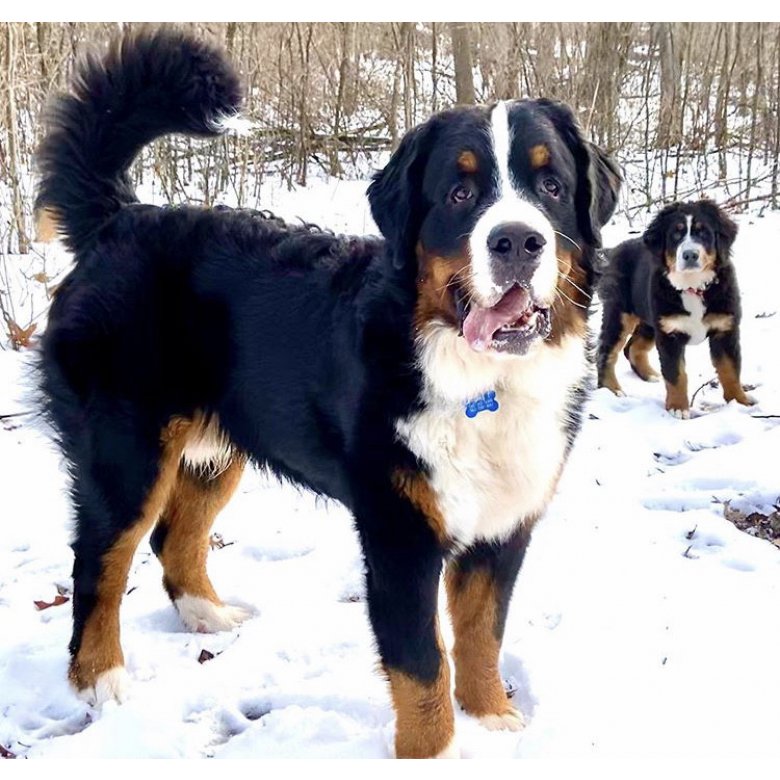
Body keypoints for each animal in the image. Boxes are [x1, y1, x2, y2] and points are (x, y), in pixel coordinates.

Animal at [35, 29, 620, 756]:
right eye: (460, 194)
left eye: (552, 185)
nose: (517, 239)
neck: (479, 382)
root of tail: (119, 219)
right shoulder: (400, 532)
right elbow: (421, 666)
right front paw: (433, 755)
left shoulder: (502, 527)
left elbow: (482, 635)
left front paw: (492, 718)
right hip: (124, 454)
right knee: (100, 562)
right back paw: (101, 679)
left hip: (215, 449)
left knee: (176, 537)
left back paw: (208, 614)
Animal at [596, 201, 756, 420]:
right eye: (675, 235)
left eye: (703, 232)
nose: (690, 255)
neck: (692, 286)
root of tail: (613, 251)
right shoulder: (670, 334)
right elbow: (676, 374)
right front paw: (678, 408)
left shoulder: (724, 329)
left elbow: (730, 369)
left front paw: (739, 402)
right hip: (620, 313)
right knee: (606, 352)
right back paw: (611, 389)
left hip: (651, 319)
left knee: (633, 348)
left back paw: (649, 375)